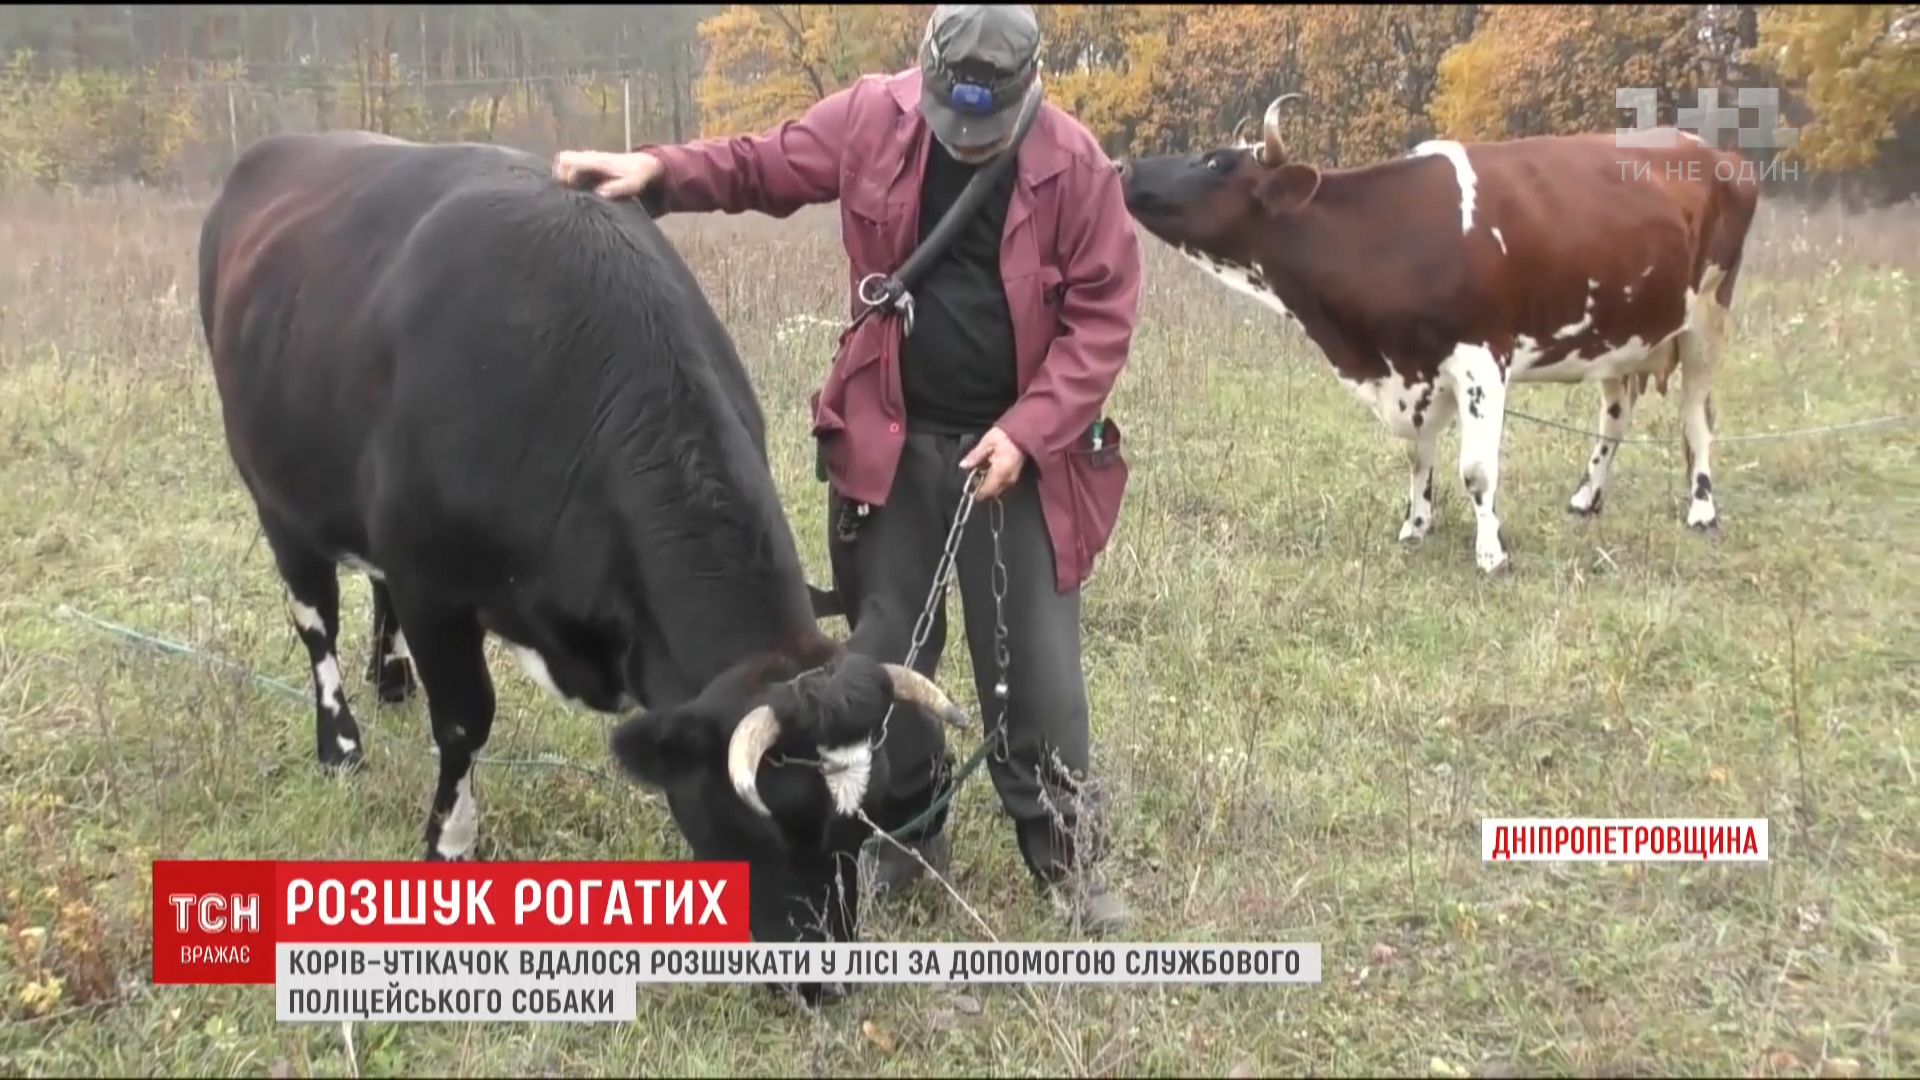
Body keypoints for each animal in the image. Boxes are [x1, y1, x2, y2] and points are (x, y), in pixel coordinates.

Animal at [200, 132, 967, 999]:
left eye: (858, 825)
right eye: (770, 822)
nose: (829, 980)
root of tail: (276, 149)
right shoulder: (433, 583)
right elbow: (464, 719)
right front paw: (449, 845)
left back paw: (391, 678)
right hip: (276, 492)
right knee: (314, 618)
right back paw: (340, 743)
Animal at [1121, 97, 1758, 572]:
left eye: (1214, 163)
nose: (1124, 166)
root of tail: (1717, 151)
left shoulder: (1483, 358)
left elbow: (1476, 469)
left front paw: (1491, 551)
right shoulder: (1413, 366)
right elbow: (1416, 454)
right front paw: (1417, 524)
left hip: (1708, 313)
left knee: (1697, 415)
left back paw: (1702, 507)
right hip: (1619, 332)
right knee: (1616, 415)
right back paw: (1587, 497)